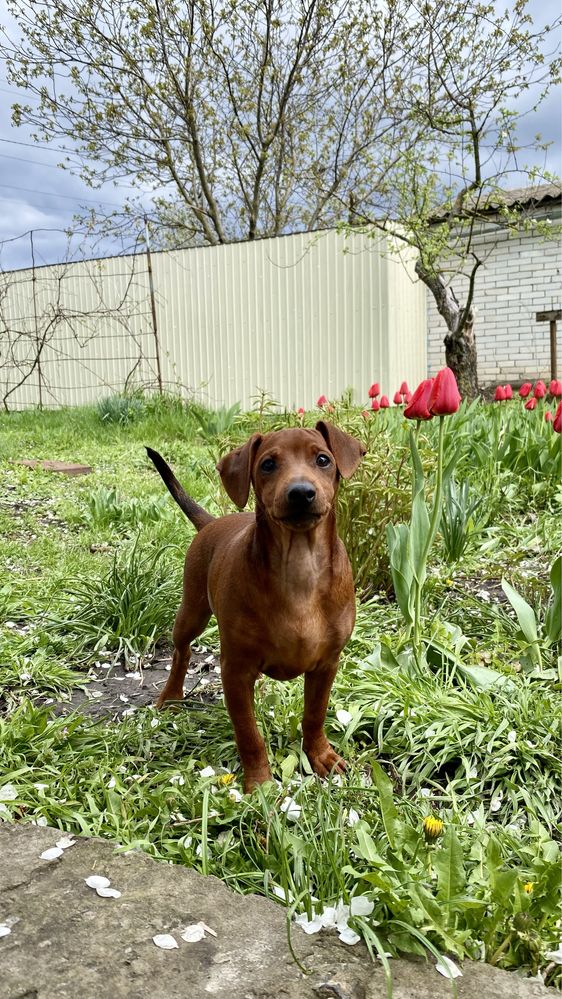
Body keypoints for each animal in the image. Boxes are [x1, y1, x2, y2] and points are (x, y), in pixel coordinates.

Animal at [145, 422, 364, 788]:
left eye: (323, 459)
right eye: (267, 465)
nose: (301, 493)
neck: (300, 566)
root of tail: (212, 522)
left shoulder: (326, 665)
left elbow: (315, 714)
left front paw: (320, 755)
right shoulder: (235, 671)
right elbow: (248, 733)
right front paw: (260, 782)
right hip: (191, 613)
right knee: (181, 651)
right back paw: (171, 695)